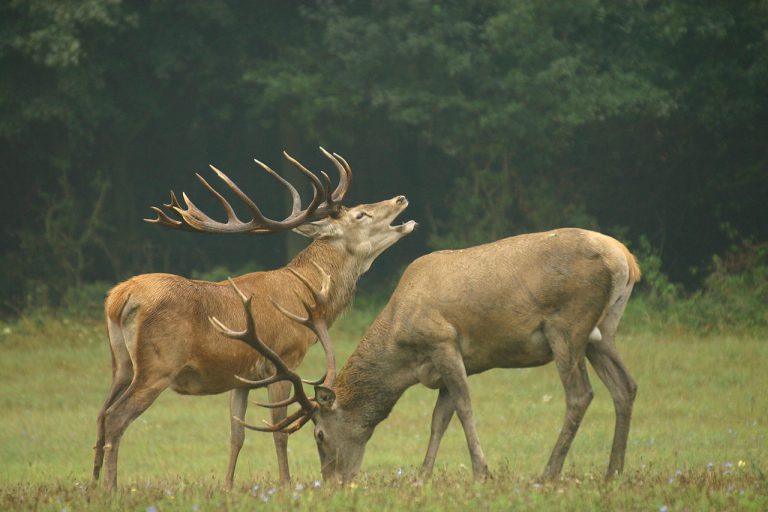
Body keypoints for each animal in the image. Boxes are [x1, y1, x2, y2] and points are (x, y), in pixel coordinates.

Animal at [93, 148, 416, 492]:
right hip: (157, 366)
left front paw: (227, 487)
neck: (307, 295)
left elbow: (237, 435)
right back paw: (111, 488)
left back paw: (94, 483)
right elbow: (279, 431)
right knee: (116, 417)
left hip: (121, 364)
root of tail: (121, 297)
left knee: (101, 414)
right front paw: (286, 485)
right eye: (360, 215)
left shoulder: (241, 376)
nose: (400, 198)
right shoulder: (283, 359)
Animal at [234, 228, 640, 484]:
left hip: (566, 326)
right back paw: (614, 471)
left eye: (319, 434)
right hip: (602, 332)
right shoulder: (447, 364)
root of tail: (626, 259)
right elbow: (439, 419)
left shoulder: (443, 341)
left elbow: (463, 407)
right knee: (627, 386)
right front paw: (423, 475)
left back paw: (549, 472)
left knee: (580, 394)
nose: (332, 481)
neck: (401, 351)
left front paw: (482, 472)